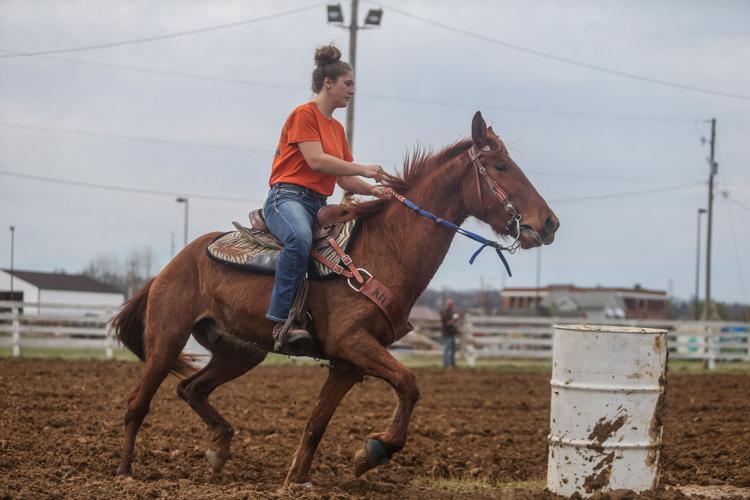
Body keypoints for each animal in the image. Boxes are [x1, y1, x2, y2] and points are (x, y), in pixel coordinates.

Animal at [111, 111, 559, 486]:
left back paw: (219, 448)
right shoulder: (352, 343)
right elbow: (409, 383)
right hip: (167, 340)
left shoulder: (348, 363)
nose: (550, 222)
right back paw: (125, 472)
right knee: (137, 403)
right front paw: (372, 451)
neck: (387, 248)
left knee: (191, 389)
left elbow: (317, 423)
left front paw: (298, 480)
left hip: (240, 351)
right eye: (501, 166)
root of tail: (170, 266)